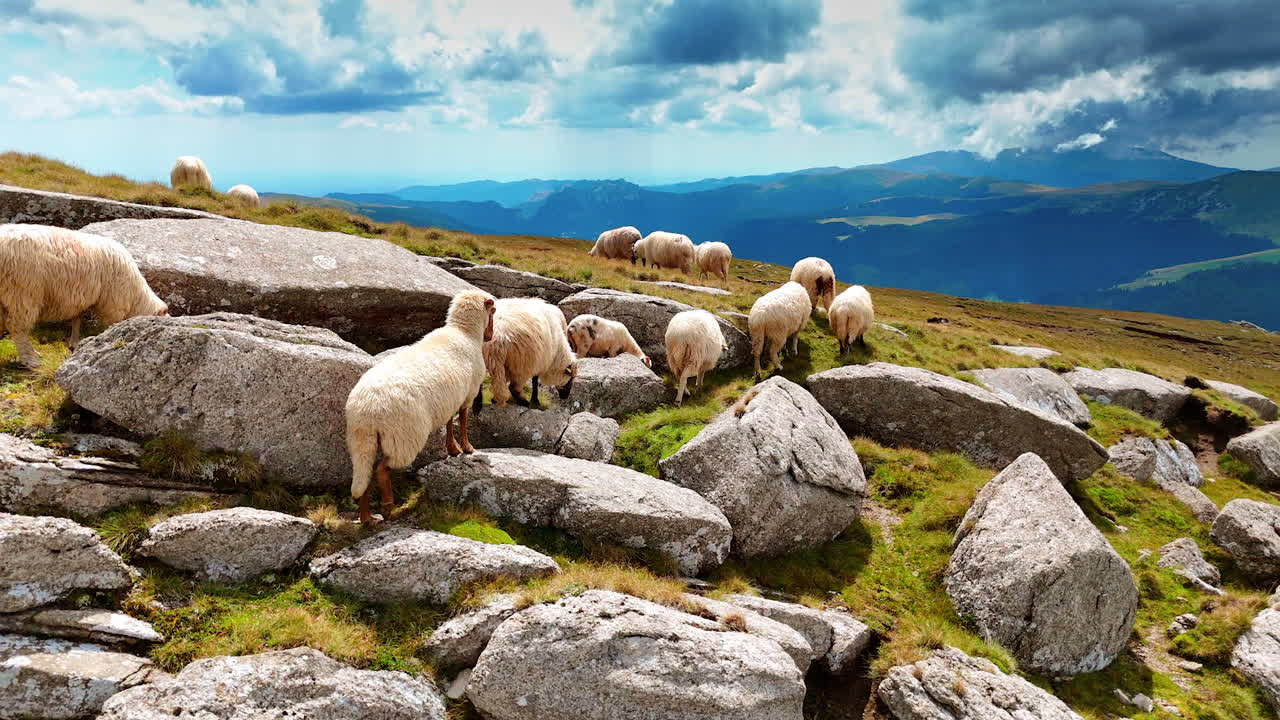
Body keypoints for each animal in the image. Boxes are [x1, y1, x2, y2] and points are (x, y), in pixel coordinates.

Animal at [0, 224, 168, 368]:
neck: (136, 298)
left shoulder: (81, 298)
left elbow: (77, 319)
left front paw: (74, 343)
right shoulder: (113, 305)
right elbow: (111, 324)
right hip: (23, 291)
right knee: (17, 327)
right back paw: (31, 359)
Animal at [345, 290, 496, 525]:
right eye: (494, 311)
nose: (491, 336)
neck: (464, 332)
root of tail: (368, 408)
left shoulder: (449, 398)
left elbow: (448, 422)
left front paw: (452, 449)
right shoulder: (468, 393)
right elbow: (462, 419)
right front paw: (467, 447)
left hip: (360, 439)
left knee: (364, 474)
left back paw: (367, 518)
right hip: (403, 436)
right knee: (382, 469)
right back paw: (388, 506)